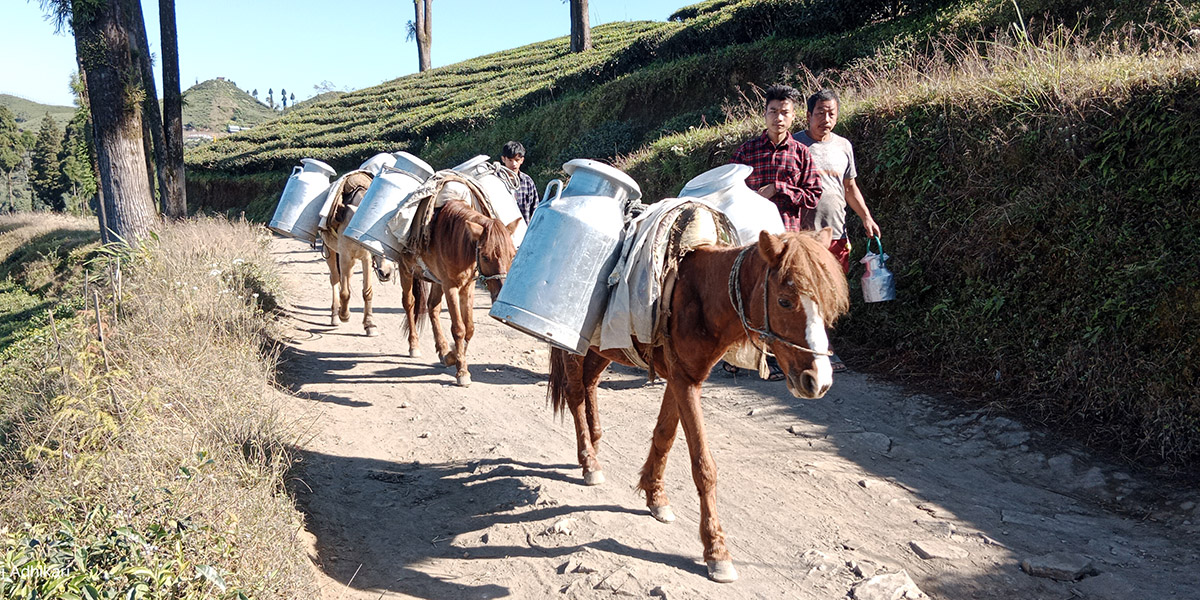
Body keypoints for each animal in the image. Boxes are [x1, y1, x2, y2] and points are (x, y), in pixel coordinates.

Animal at [319, 171, 393, 336]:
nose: (386, 273)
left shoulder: (366, 258)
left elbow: (367, 292)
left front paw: (370, 325)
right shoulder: (345, 256)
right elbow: (345, 292)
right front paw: (344, 315)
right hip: (330, 251)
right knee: (335, 279)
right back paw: (335, 315)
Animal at [400, 201, 518, 386]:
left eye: (513, 255)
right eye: (485, 256)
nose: (500, 294)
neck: (456, 242)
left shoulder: (467, 286)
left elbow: (469, 328)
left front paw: (451, 356)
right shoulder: (450, 287)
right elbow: (459, 328)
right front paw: (462, 371)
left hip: (436, 281)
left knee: (432, 307)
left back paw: (442, 348)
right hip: (405, 269)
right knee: (409, 303)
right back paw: (414, 345)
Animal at [549, 228, 849, 580]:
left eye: (828, 304)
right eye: (785, 301)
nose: (818, 381)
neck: (701, 295)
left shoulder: (683, 378)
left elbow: (664, 436)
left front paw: (655, 496)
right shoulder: (684, 381)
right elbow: (703, 466)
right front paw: (716, 550)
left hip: (604, 348)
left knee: (590, 384)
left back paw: (594, 445)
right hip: (572, 345)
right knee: (575, 394)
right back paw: (589, 462)